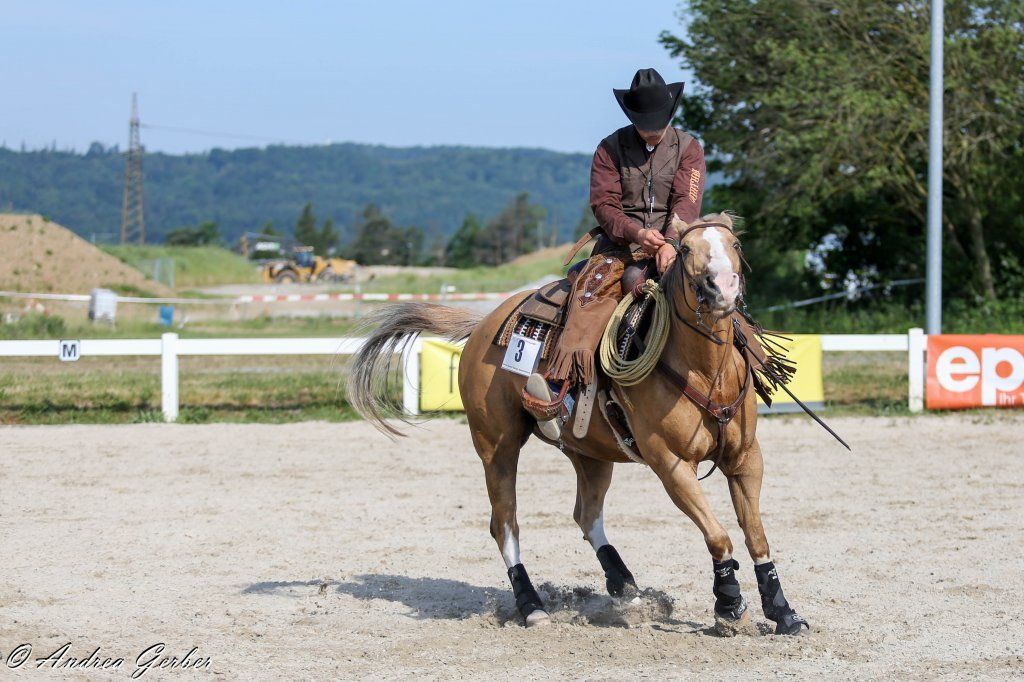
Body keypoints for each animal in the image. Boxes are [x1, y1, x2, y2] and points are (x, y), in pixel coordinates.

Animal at [348, 213, 809, 635]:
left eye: (735, 244)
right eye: (684, 249)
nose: (722, 288)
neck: (704, 370)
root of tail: (483, 325)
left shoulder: (745, 458)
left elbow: (756, 535)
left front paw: (782, 611)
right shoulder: (672, 465)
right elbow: (718, 535)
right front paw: (729, 607)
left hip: (590, 455)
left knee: (586, 516)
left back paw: (626, 587)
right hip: (496, 446)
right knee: (505, 524)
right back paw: (532, 605)